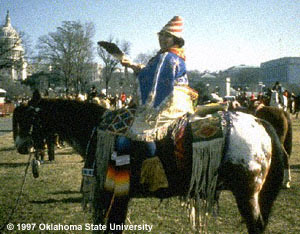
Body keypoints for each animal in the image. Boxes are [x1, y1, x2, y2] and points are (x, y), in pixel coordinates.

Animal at [14, 90, 286, 233]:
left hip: (246, 194)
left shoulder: (112, 195)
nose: (20, 146)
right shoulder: (117, 196)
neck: (96, 130)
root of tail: (259, 121)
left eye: (28, 118)